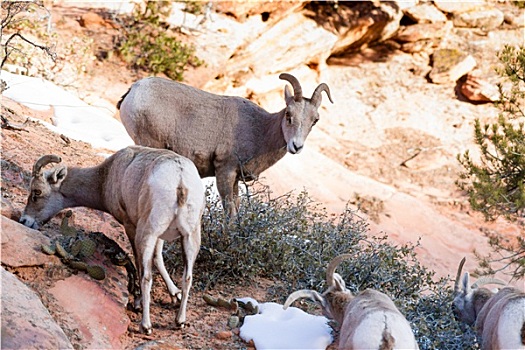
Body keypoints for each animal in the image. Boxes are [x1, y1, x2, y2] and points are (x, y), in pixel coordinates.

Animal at [17, 146, 205, 334]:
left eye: (37, 192)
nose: (24, 220)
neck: (106, 178)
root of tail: (179, 180)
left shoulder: (132, 227)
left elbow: (141, 267)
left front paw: (137, 303)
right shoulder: (160, 235)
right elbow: (158, 259)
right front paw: (174, 294)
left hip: (147, 234)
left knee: (146, 277)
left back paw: (146, 326)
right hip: (190, 237)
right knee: (188, 277)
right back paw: (180, 321)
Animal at [117, 72, 334, 216]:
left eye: (315, 120)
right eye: (289, 114)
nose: (296, 146)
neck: (260, 130)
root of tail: (133, 90)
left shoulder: (236, 178)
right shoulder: (225, 171)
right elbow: (230, 212)